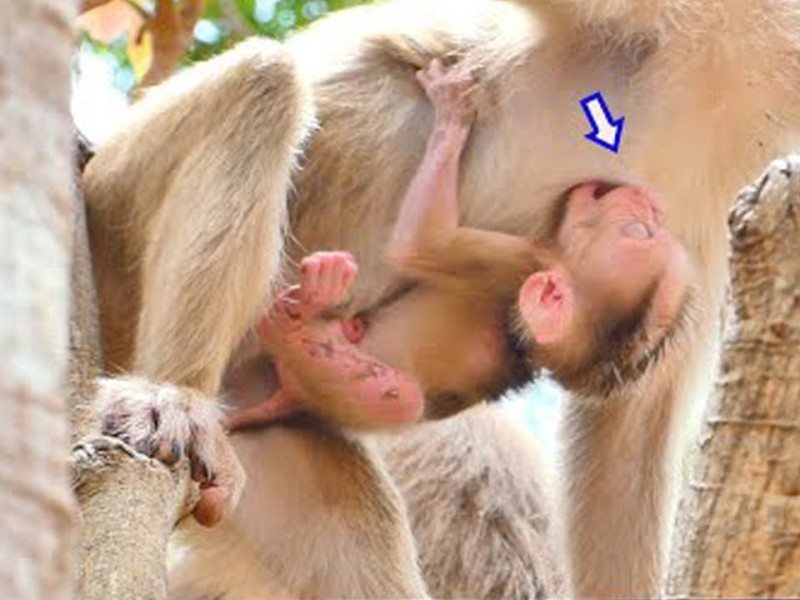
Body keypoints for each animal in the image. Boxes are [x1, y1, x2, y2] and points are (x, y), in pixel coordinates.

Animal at [80, 0, 800, 597]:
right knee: (267, 83)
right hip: (113, 224)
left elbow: (632, 410)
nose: (628, 204)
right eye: (631, 224)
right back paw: (171, 398)